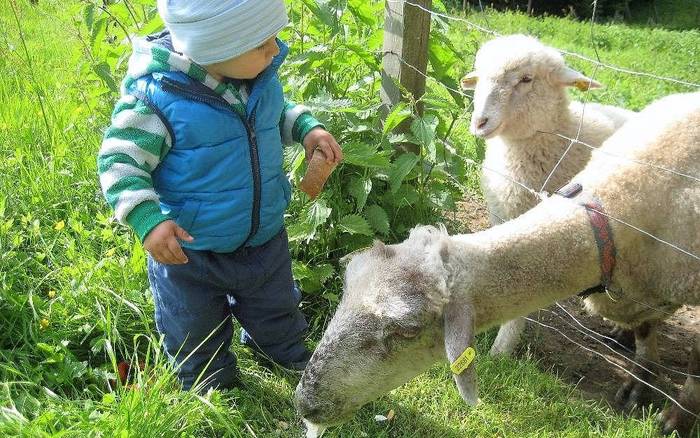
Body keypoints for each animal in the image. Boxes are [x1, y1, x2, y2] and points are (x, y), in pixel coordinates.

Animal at [296, 90, 700, 436]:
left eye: (407, 330)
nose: (305, 404)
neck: (611, 209)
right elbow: (646, 328)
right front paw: (641, 381)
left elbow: (693, 364)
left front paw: (673, 417)